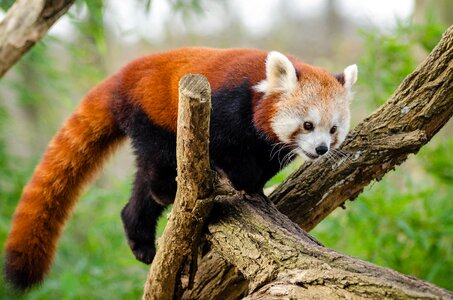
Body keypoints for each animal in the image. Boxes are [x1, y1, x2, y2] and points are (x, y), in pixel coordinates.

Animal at [3, 47, 356, 290]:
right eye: (307, 125)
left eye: (333, 130)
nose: (321, 149)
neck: (257, 91)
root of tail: (121, 77)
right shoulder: (227, 106)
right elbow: (226, 150)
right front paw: (240, 180)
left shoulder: (265, 143)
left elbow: (265, 162)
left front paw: (255, 186)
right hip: (152, 113)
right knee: (157, 161)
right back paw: (165, 192)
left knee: (141, 189)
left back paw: (140, 235)